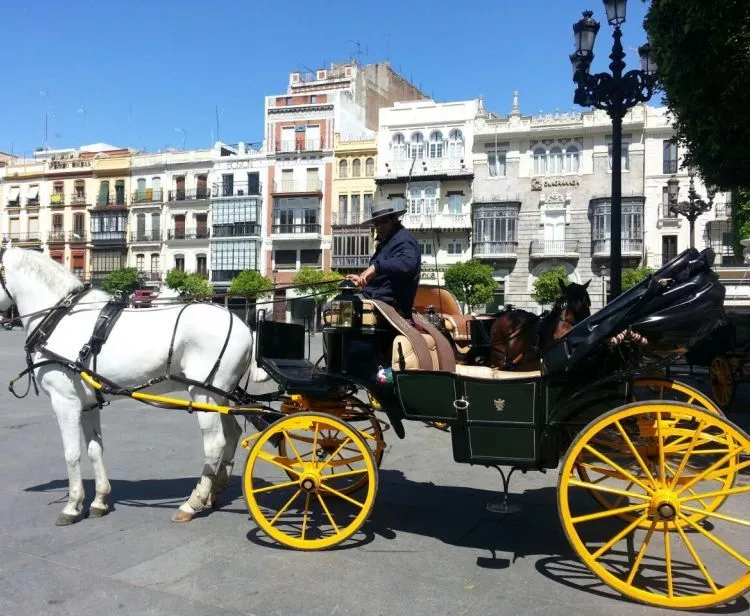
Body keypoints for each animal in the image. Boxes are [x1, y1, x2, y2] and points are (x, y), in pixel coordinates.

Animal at [0, 248, 270, 528]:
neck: (60, 319)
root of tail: (244, 325)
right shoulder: (88, 404)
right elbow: (94, 449)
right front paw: (99, 500)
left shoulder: (65, 402)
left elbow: (71, 454)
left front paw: (73, 506)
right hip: (219, 396)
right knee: (233, 433)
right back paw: (215, 491)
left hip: (204, 394)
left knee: (215, 443)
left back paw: (192, 502)